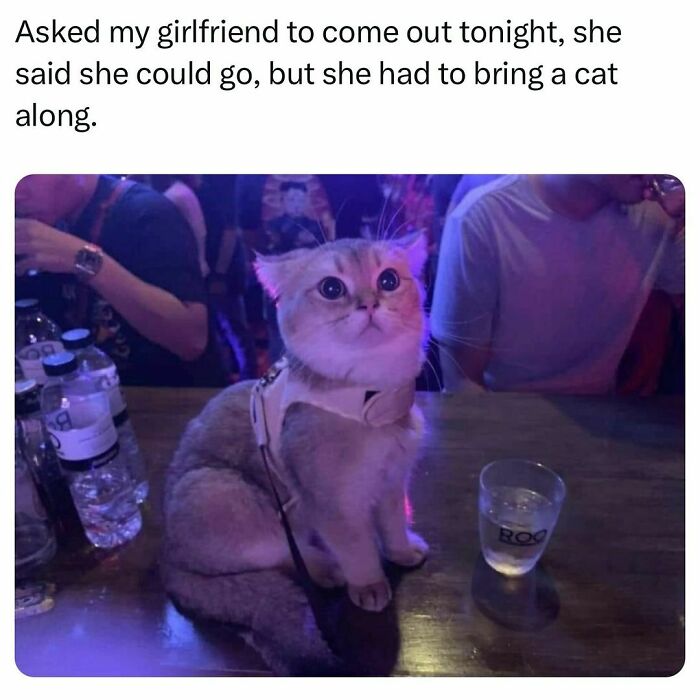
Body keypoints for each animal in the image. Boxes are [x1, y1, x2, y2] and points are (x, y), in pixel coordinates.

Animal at [161, 235, 430, 672]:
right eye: (332, 288)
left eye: (388, 280)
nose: (370, 303)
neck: (368, 404)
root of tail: (167, 558)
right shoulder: (332, 503)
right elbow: (356, 547)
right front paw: (369, 583)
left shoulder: (393, 482)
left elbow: (391, 525)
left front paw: (402, 551)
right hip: (218, 491)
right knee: (280, 552)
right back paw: (326, 569)